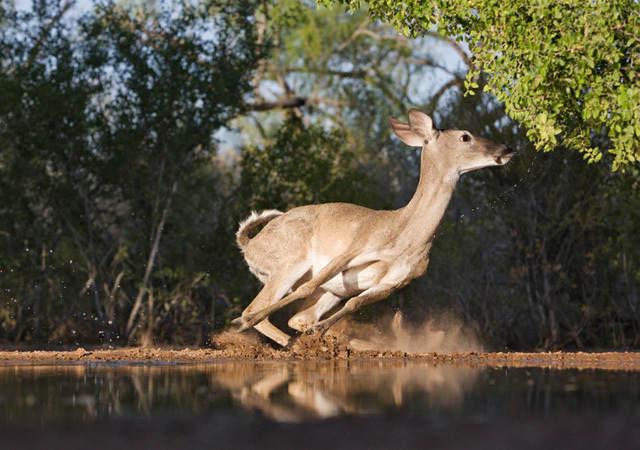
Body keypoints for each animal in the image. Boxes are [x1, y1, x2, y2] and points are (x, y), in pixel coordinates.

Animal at [232, 107, 512, 346]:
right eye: (464, 136)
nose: (507, 149)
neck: (405, 236)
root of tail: (248, 244)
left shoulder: (393, 283)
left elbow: (355, 304)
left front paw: (320, 331)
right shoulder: (351, 251)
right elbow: (305, 288)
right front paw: (241, 323)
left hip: (328, 288)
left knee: (298, 318)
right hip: (289, 263)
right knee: (257, 308)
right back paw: (248, 323)